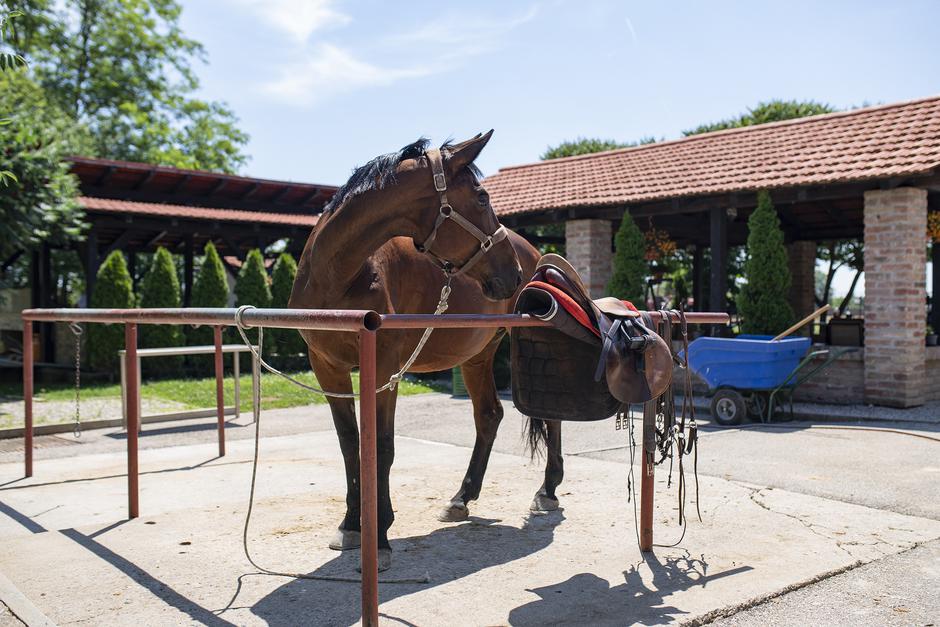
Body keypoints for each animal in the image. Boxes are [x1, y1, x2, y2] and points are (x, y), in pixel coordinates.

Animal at [290, 131, 560, 568]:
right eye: (482, 197)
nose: (511, 272)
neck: (339, 275)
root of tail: (535, 256)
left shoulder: (385, 370)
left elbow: (381, 446)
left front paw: (380, 534)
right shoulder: (327, 368)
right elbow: (351, 445)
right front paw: (351, 525)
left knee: (549, 416)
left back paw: (547, 490)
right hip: (477, 355)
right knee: (489, 415)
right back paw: (461, 498)